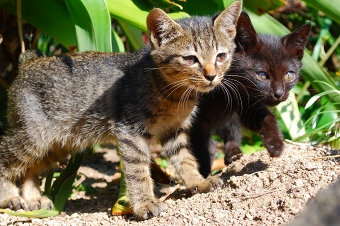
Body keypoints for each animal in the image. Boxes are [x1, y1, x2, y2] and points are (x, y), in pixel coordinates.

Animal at [0, 1, 242, 220]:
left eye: (221, 56)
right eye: (190, 59)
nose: (211, 76)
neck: (175, 95)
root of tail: (29, 62)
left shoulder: (174, 131)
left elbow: (185, 159)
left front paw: (198, 181)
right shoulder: (131, 131)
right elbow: (138, 172)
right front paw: (145, 203)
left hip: (57, 144)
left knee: (30, 169)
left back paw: (33, 198)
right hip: (32, 136)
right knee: (6, 157)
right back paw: (9, 197)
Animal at [190, 11, 312, 178]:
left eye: (289, 75)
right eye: (262, 75)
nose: (279, 93)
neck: (222, 95)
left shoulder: (246, 103)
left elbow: (265, 116)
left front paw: (275, 144)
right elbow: (199, 147)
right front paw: (203, 174)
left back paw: (234, 153)